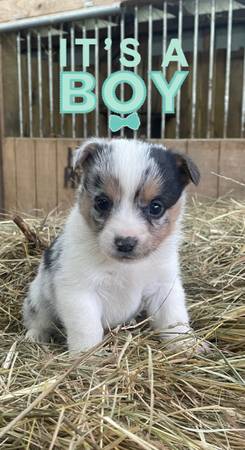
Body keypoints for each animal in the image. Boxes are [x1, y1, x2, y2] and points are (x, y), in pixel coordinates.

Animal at [22, 138, 201, 356]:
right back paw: (35, 336)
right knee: (37, 319)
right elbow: (87, 328)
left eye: (156, 207)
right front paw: (87, 356)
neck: (127, 267)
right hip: (38, 299)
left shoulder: (164, 285)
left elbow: (174, 318)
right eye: (102, 202)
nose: (125, 243)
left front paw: (186, 344)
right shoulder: (79, 291)